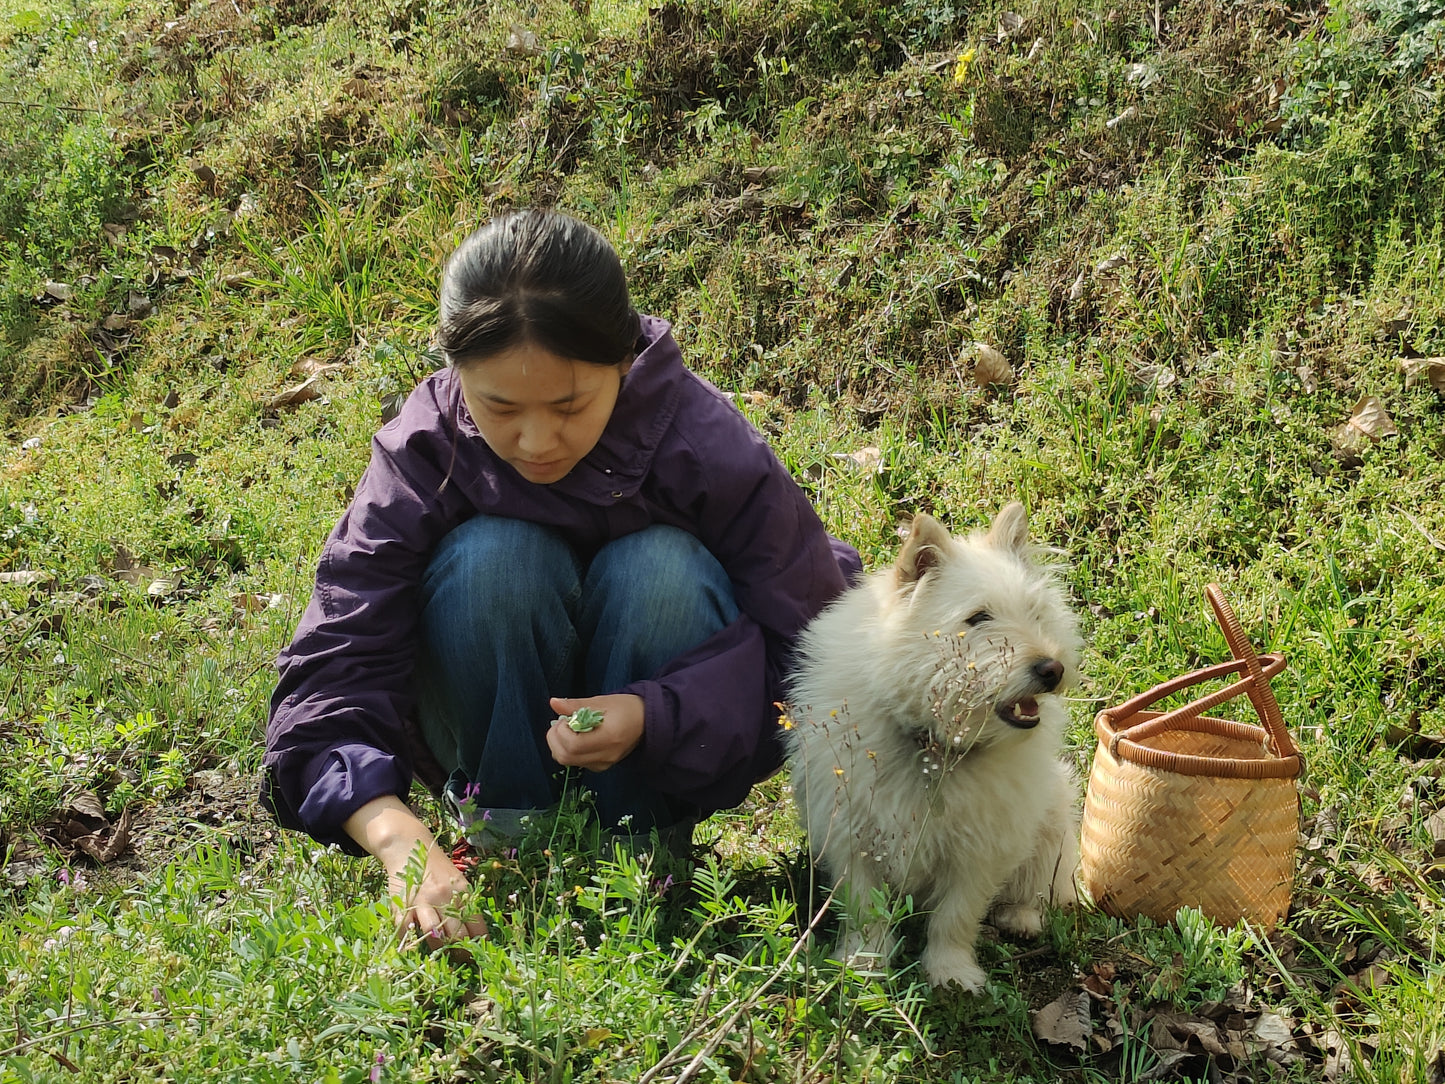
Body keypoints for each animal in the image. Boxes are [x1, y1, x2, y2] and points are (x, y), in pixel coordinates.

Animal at [786, 505, 1080, 988]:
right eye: (978, 618)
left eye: (1036, 613)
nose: (1051, 668)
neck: (935, 748)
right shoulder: (853, 838)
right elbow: (866, 908)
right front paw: (866, 963)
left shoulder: (981, 850)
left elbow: (956, 915)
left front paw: (951, 970)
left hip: (1053, 816)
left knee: (1040, 886)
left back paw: (1021, 917)